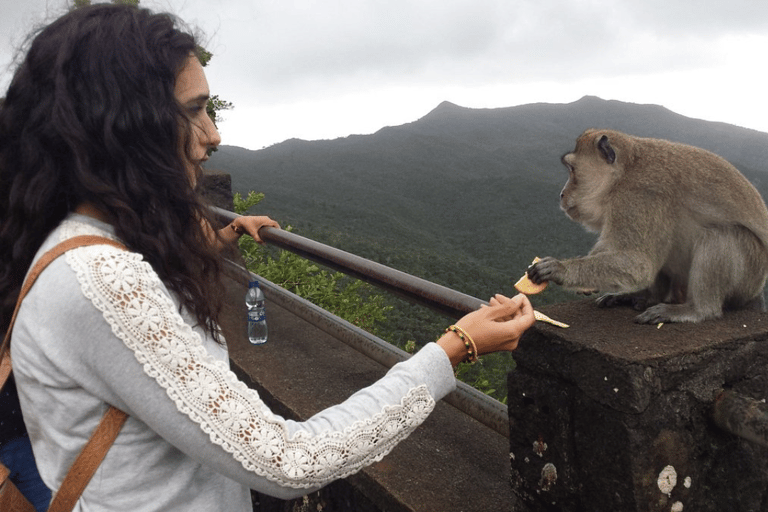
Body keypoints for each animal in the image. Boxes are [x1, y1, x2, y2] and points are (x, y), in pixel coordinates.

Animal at [528, 128, 768, 324]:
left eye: (572, 169)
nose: (562, 194)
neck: (625, 172)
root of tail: (757, 293)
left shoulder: (639, 196)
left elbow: (639, 263)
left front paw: (561, 269)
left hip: (750, 276)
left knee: (720, 236)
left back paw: (697, 310)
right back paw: (644, 297)